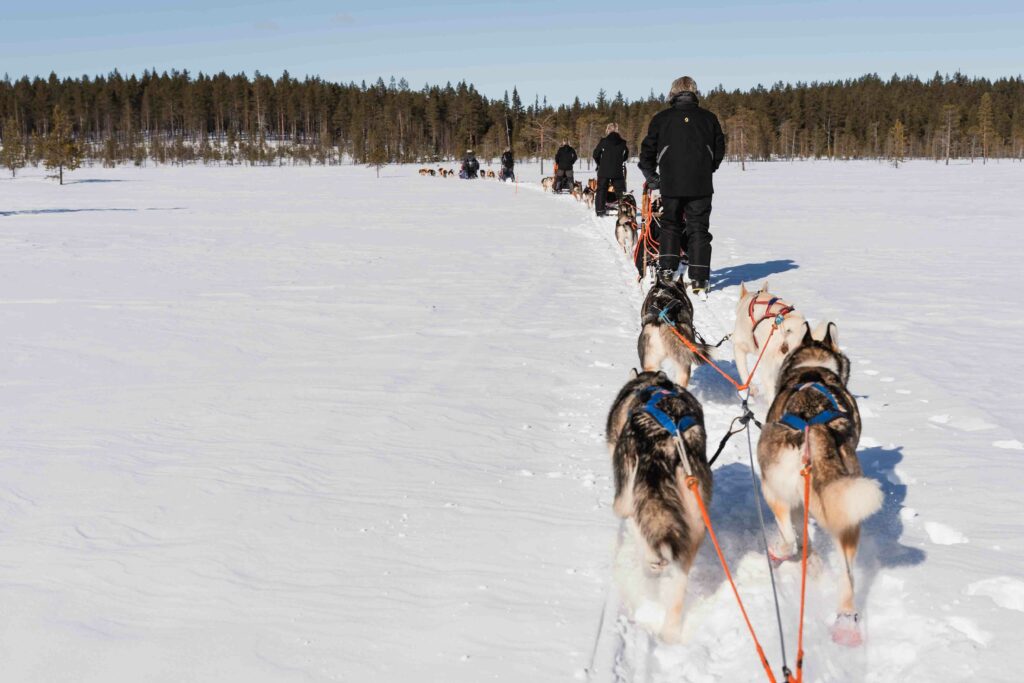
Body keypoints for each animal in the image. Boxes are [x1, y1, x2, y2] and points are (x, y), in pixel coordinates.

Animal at [757, 323, 884, 651]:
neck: (813, 368)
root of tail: (814, 426)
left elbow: (799, 536)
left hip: (771, 489)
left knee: (789, 539)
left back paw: (777, 553)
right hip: (848, 511)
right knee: (848, 577)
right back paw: (847, 625)